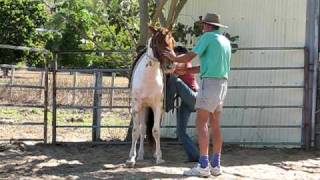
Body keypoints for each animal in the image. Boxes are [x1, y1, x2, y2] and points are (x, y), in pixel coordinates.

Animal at [126, 26, 175, 167]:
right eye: (157, 42)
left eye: (173, 41)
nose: (170, 65)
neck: (148, 78)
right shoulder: (137, 107)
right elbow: (136, 131)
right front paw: (132, 158)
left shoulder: (157, 107)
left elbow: (156, 131)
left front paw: (158, 157)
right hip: (143, 108)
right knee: (142, 130)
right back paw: (140, 155)